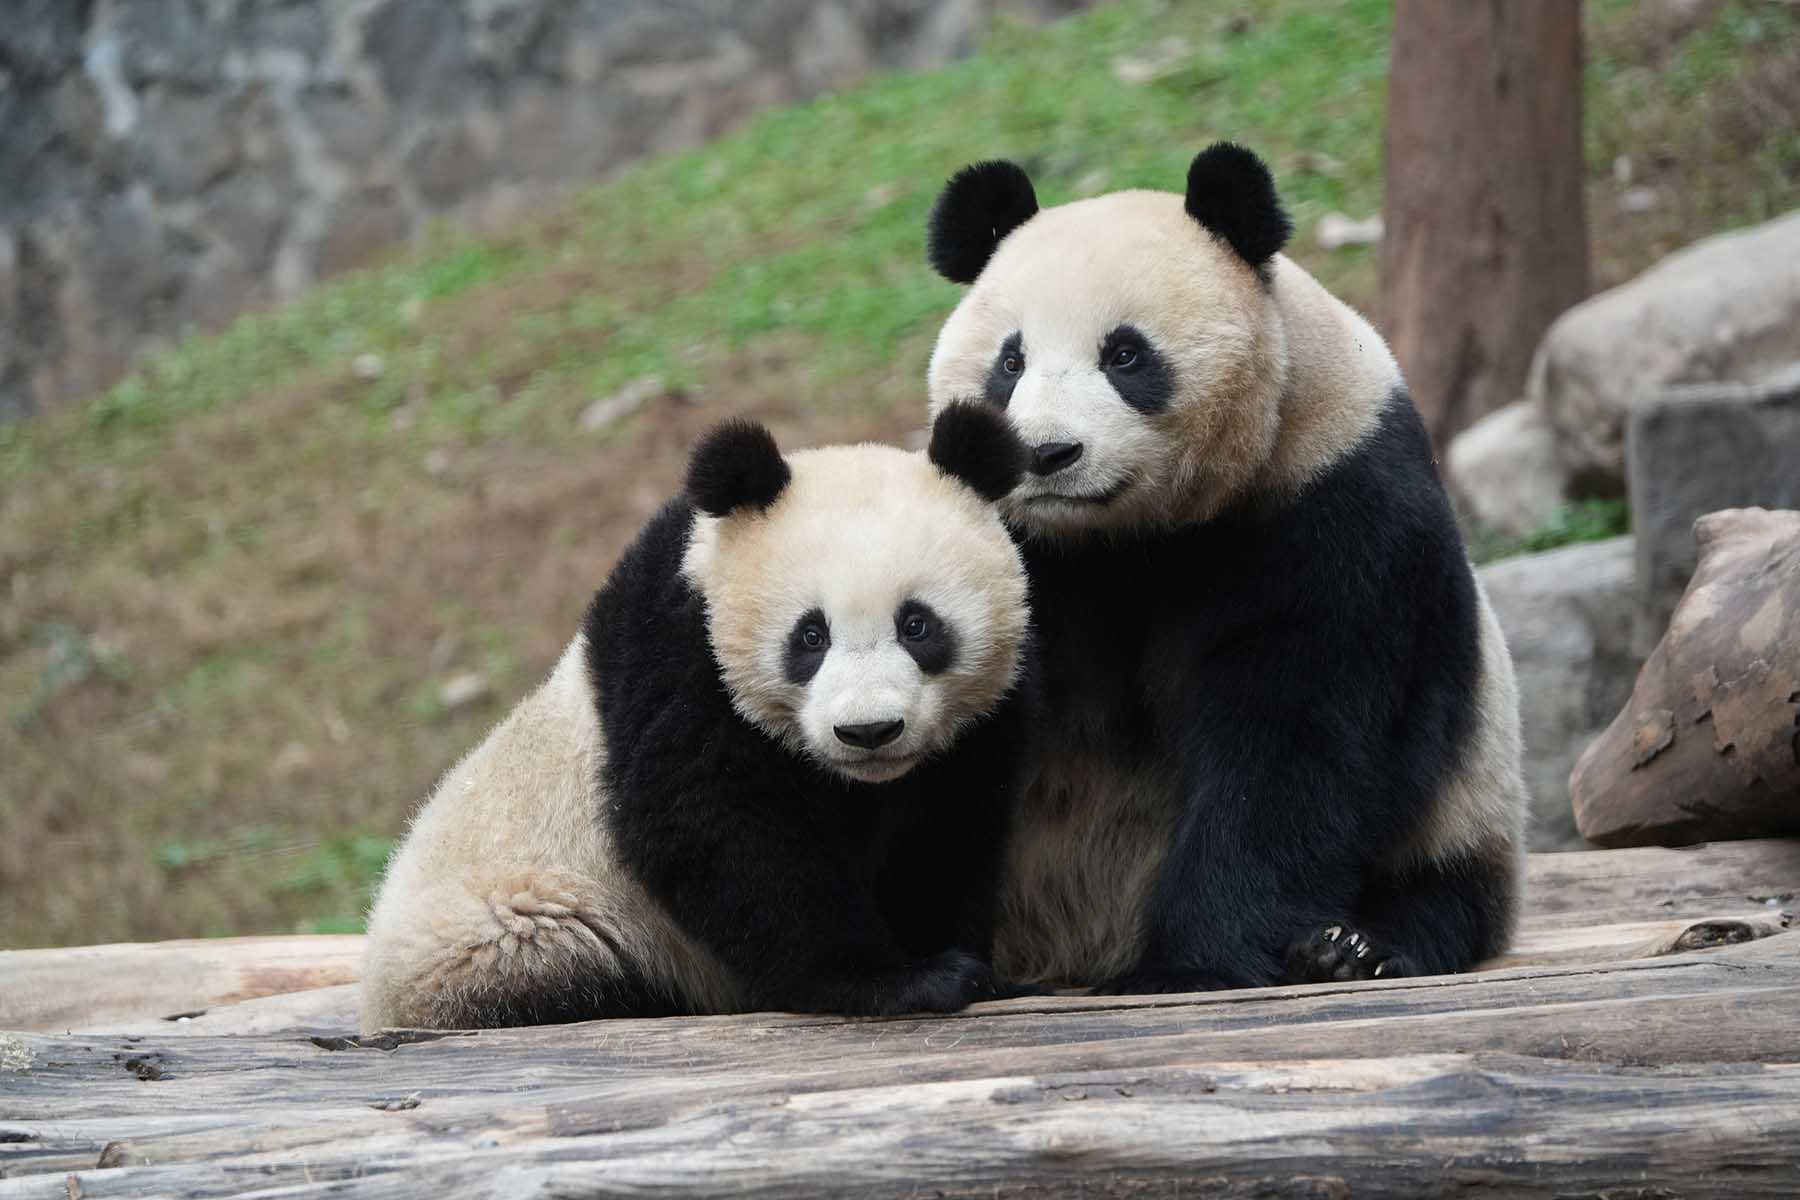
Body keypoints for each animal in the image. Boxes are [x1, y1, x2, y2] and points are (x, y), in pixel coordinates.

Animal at [360, 402, 1035, 1030]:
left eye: (917, 625)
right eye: (810, 636)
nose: (868, 731)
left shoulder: (977, 732)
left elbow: (953, 828)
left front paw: (966, 966)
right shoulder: (680, 653)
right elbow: (713, 822)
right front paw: (898, 981)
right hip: (512, 928)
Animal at [920, 142, 1528, 992]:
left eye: (1125, 354)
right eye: (1010, 361)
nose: (1044, 454)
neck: (1120, 536)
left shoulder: (1333, 500)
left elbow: (1294, 733)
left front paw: (1196, 961)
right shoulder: (1015, 548)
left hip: (1473, 807)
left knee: (1440, 897)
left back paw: (1352, 950)